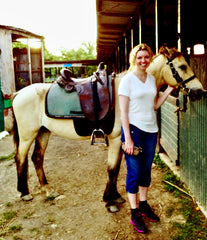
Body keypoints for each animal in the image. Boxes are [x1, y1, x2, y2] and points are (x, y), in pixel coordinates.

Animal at [10, 46, 203, 212]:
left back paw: (47, 189)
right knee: (20, 158)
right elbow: (111, 169)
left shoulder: (121, 141)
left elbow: (116, 169)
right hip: (28, 135)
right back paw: (24, 192)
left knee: (37, 158)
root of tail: (18, 94)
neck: (122, 94)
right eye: (182, 66)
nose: (199, 92)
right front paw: (109, 202)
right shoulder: (116, 139)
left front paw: (115, 196)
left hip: (43, 132)